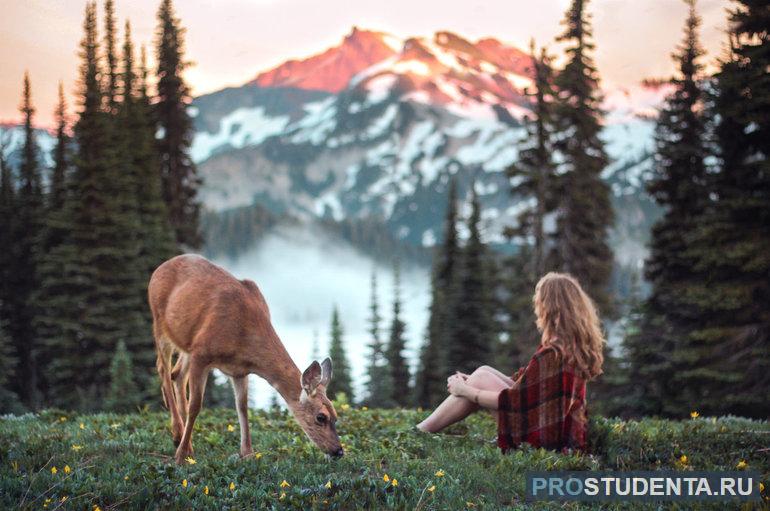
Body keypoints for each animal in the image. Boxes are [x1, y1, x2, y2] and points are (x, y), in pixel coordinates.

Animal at [148, 255, 340, 464]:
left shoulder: (239, 371)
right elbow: (196, 406)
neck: (243, 337)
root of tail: (159, 268)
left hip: (186, 342)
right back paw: (178, 435)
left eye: (336, 416)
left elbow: (242, 408)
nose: (339, 451)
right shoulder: (202, 353)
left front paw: (247, 453)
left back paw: (185, 439)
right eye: (321, 417)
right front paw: (181, 456)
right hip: (160, 323)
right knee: (163, 369)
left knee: (177, 374)